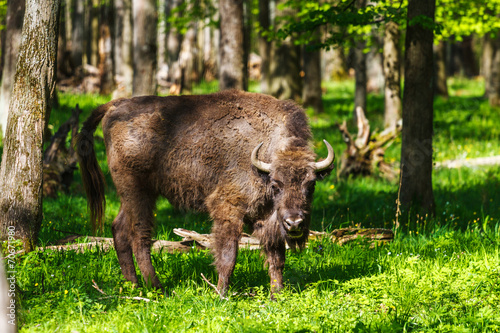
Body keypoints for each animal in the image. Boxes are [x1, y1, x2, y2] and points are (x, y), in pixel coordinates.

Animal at [76, 89, 334, 296]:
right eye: (276, 184)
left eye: (311, 185)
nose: (295, 223)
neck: (263, 161)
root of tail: (115, 105)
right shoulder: (227, 209)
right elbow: (228, 255)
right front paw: (221, 294)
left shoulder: (268, 219)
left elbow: (276, 257)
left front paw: (277, 295)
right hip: (137, 192)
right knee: (139, 236)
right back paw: (157, 288)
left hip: (131, 196)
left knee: (119, 229)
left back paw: (134, 285)